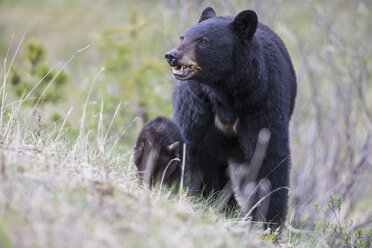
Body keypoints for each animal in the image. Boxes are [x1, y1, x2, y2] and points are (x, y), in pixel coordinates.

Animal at [166, 6, 296, 228]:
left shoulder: (262, 102)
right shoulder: (198, 104)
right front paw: (202, 194)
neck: (224, 90)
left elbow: (268, 158)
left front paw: (267, 221)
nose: (172, 55)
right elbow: (194, 147)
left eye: (203, 40)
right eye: (183, 36)